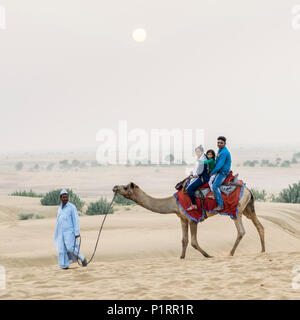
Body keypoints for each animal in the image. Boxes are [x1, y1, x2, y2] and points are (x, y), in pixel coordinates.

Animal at [112, 181, 264, 258]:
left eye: (125, 187)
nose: (114, 187)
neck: (174, 203)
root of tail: (249, 190)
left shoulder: (193, 219)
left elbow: (193, 242)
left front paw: (208, 255)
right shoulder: (183, 218)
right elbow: (184, 241)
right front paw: (182, 257)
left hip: (236, 210)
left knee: (241, 231)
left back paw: (230, 253)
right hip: (248, 208)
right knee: (259, 226)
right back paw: (263, 251)